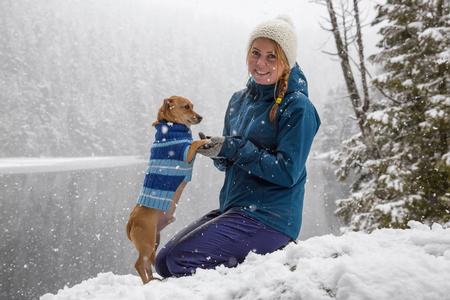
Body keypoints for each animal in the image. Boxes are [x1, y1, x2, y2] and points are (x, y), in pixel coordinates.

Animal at [125, 96, 210, 284]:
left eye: (192, 106)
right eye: (186, 107)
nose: (200, 117)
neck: (170, 127)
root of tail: (131, 222)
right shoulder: (185, 154)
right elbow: (194, 142)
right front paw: (206, 140)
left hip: (154, 241)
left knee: (147, 263)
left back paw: (153, 280)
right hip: (147, 242)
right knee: (139, 264)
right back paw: (147, 283)